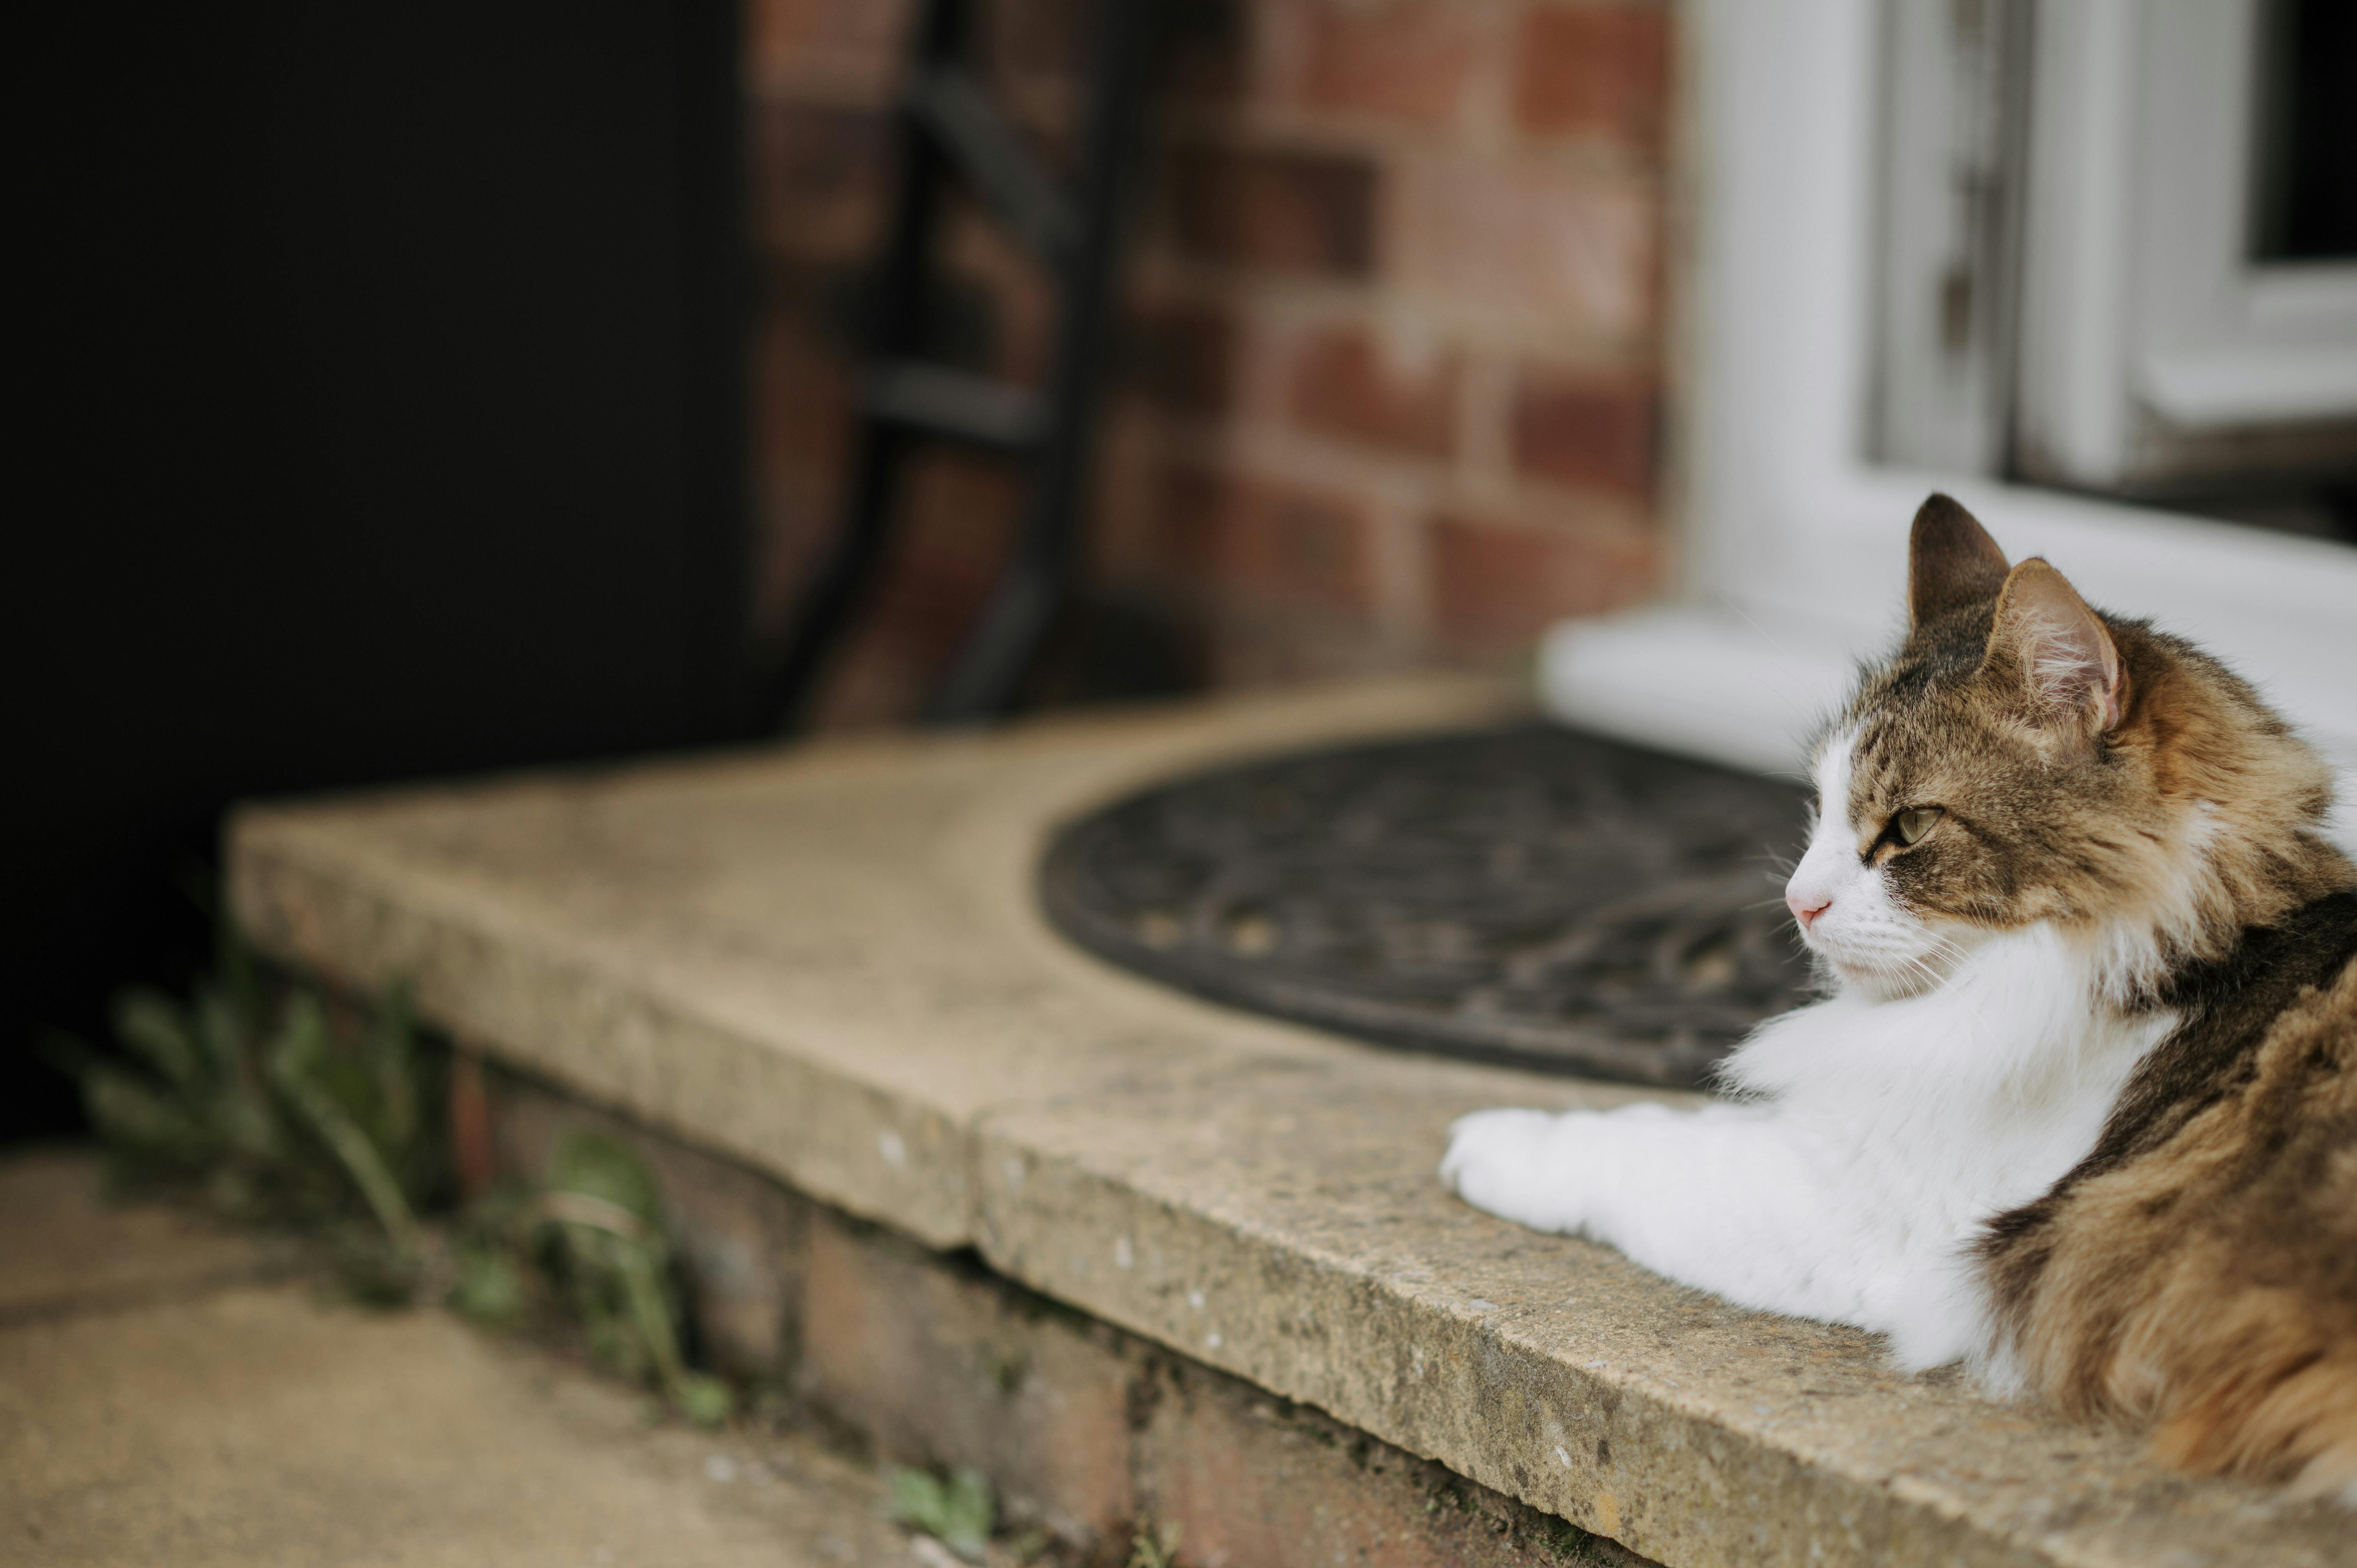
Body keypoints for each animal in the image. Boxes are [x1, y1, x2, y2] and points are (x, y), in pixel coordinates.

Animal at [1433, 495, 2357, 1499]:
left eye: (1909, 827)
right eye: (1820, 809)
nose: (1796, 900)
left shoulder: (1853, 1204)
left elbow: (1636, 1149)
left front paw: (1491, 1140)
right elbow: (1677, 1120)